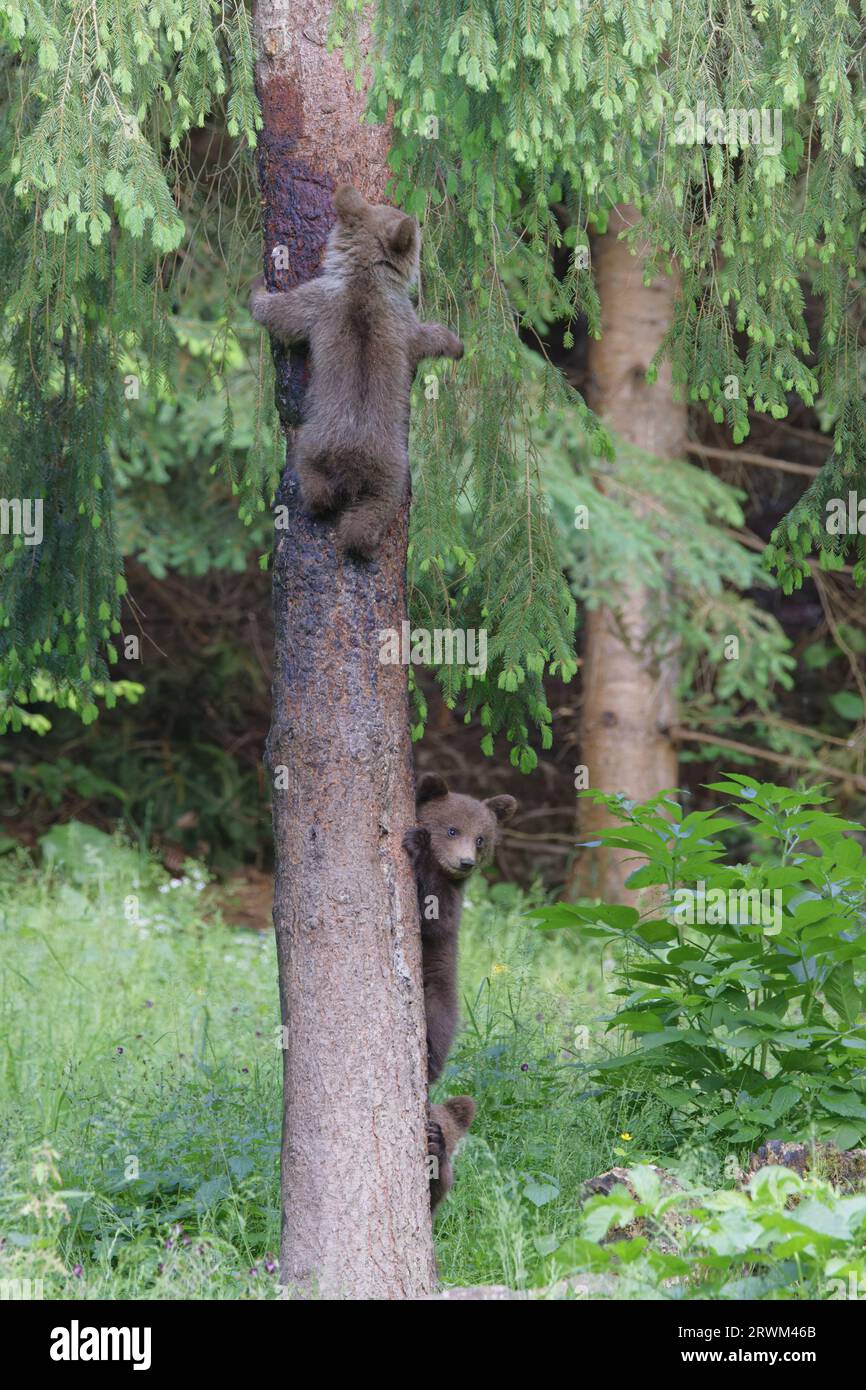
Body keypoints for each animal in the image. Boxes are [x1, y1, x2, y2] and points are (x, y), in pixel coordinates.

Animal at [248, 184, 463, 560]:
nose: (420, 221)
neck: (364, 275)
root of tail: (351, 461)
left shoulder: (323, 302)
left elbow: (285, 314)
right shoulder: (390, 314)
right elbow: (424, 336)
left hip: (317, 451)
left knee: (324, 493)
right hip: (387, 469)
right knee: (369, 511)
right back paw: (366, 543)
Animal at [403, 773, 517, 1084]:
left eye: (480, 838)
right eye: (452, 830)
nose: (465, 862)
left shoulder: (451, 902)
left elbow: (435, 922)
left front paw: (418, 844)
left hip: (438, 989)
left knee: (440, 1023)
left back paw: (431, 1062)